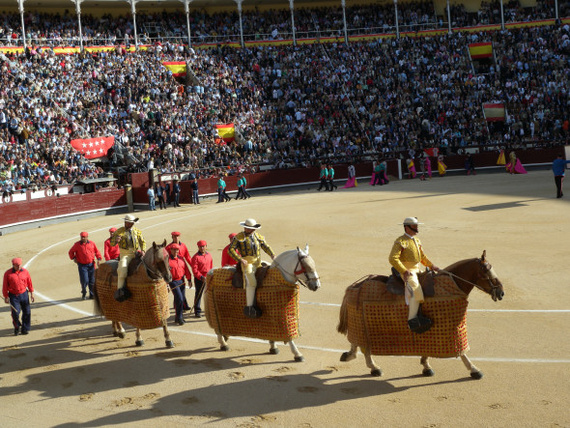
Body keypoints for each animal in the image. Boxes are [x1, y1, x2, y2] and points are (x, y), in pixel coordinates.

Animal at [336, 251, 504, 378]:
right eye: (486, 271)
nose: (501, 292)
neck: (453, 284)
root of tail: (354, 286)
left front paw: (426, 366)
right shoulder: (452, 330)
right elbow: (462, 352)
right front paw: (475, 370)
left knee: (359, 343)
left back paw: (351, 356)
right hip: (361, 323)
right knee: (363, 346)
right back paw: (374, 367)